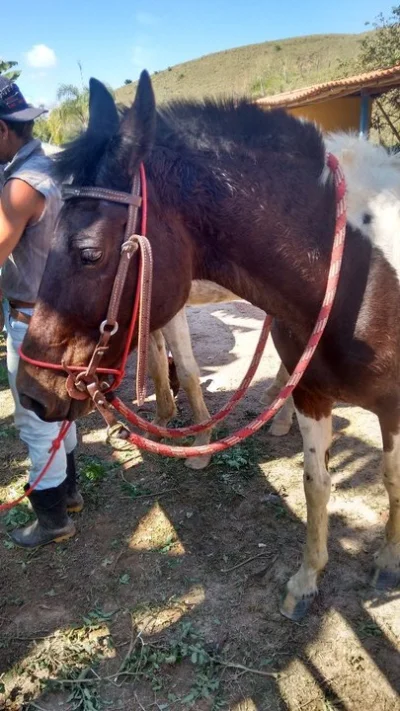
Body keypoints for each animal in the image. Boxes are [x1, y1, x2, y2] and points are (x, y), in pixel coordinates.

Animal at [16, 72, 400, 620]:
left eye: (88, 253)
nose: (30, 393)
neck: (361, 275)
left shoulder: (393, 406)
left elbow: (392, 480)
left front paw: (387, 560)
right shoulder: (312, 394)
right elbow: (315, 484)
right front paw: (306, 580)